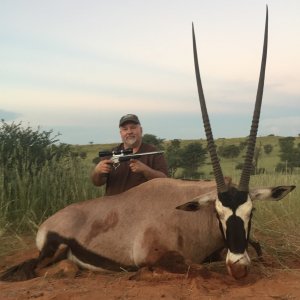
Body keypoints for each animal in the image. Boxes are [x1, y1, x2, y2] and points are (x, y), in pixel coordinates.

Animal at [0, 6, 296, 282]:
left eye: (251, 211)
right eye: (218, 213)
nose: (239, 267)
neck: (190, 217)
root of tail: (47, 222)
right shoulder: (154, 255)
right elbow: (198, 269)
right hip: (55, 248)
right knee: (41, 268)